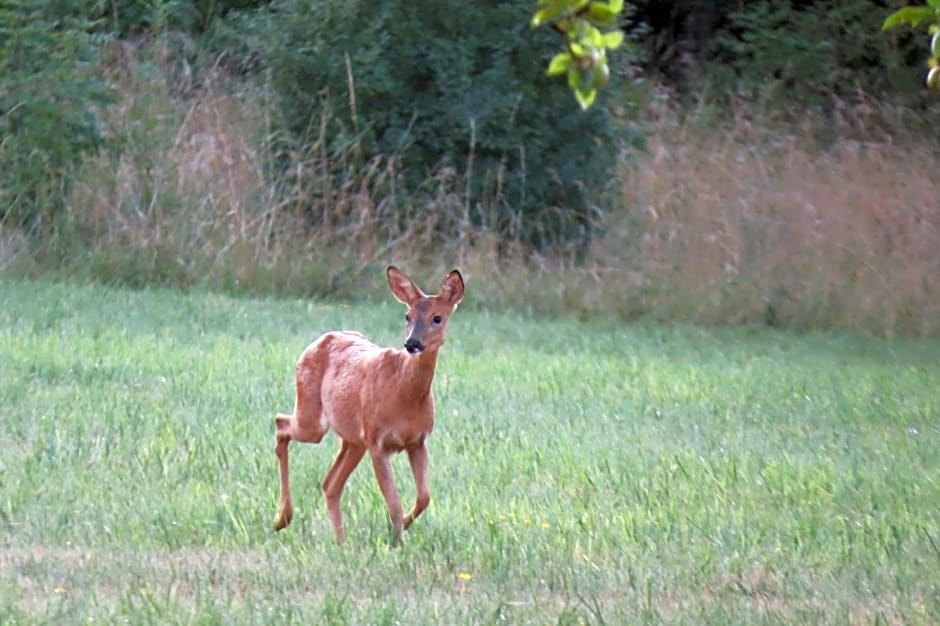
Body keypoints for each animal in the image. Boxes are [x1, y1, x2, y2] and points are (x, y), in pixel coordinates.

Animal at [272, 264, 462, 540]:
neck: (405, 396)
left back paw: (339, 541)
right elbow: (394, 503)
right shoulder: (377, 441)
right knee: (281, 423)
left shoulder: (417, 440)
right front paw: (396, 540)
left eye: (437, 318)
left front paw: (400, 530)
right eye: (407, 316)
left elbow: (424, 498)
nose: (412, 343)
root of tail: (317, 341)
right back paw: (282, 519)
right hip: (313, 419)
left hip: (353, 440)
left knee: (330, 484)